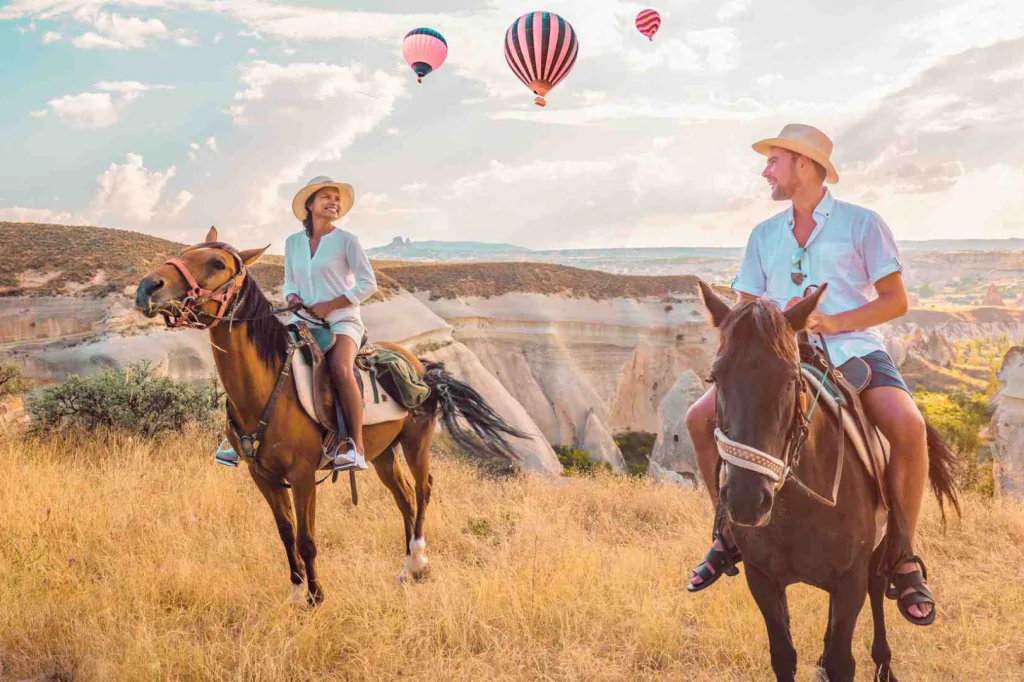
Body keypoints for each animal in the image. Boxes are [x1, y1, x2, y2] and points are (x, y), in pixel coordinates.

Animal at [136, 229, 528, 606]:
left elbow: (307, 539)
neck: (266, 386)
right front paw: (296, 594)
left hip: (417, 440)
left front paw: (316, 597)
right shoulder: (262, 475)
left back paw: (418, 561)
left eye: (217, 263)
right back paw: (405, 570)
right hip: (382, 453)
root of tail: (421, 365)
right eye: (184, 252)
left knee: (423, 489)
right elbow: (286, 534)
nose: (146, 288)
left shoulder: (302, 474)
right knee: (404, 496)